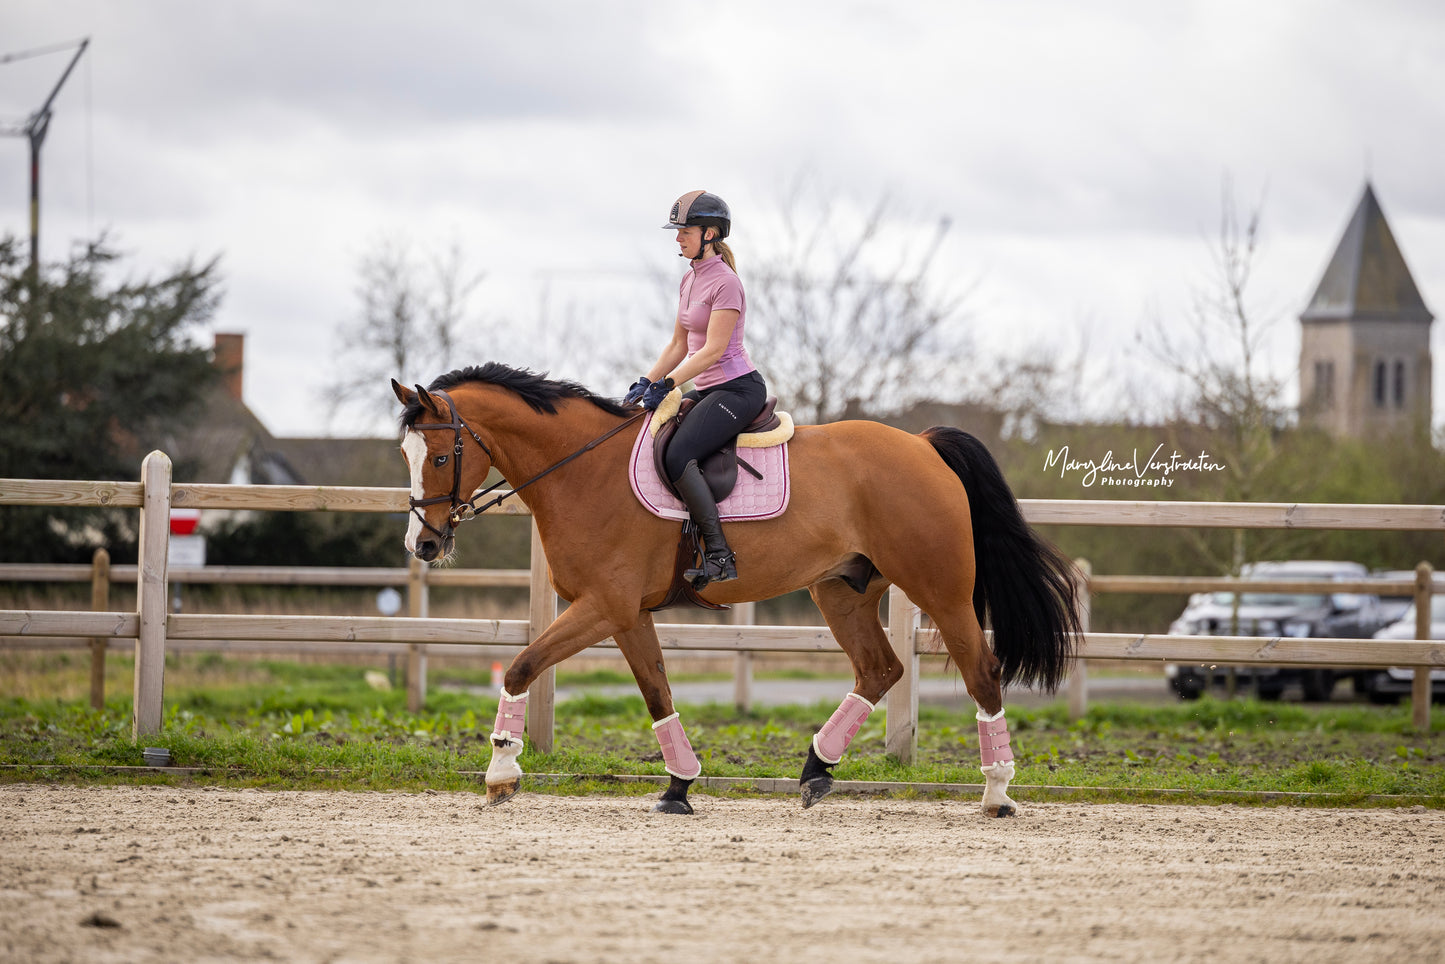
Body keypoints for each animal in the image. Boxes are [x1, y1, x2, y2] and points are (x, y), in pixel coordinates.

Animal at [390, 365, 1080, 820]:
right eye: (405, 454)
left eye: (441, 458)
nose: (422, 544)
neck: (583, 468)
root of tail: (923, 445)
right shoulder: (625, 614)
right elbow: (657, 692)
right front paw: (678, 787)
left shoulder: (602, 607)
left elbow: (521, 667)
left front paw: (501, 772)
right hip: (843, 591)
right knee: (880, 670)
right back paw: (815, 771)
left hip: (940, 589)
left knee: (981, 671)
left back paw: (997, 792)